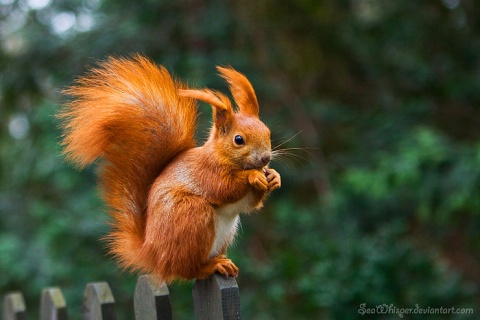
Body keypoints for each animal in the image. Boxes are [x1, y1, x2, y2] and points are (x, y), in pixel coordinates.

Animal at [59, 55, 282, 282]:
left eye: (268, 133)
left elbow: (249, 204)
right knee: (186, 270)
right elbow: (224, 187)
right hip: (191, 216)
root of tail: (154, 256)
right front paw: (253, 175)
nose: (265, 158)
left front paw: (273, 177)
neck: (222, 157)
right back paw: (210, 266)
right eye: (238, 139)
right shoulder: (205, 171)